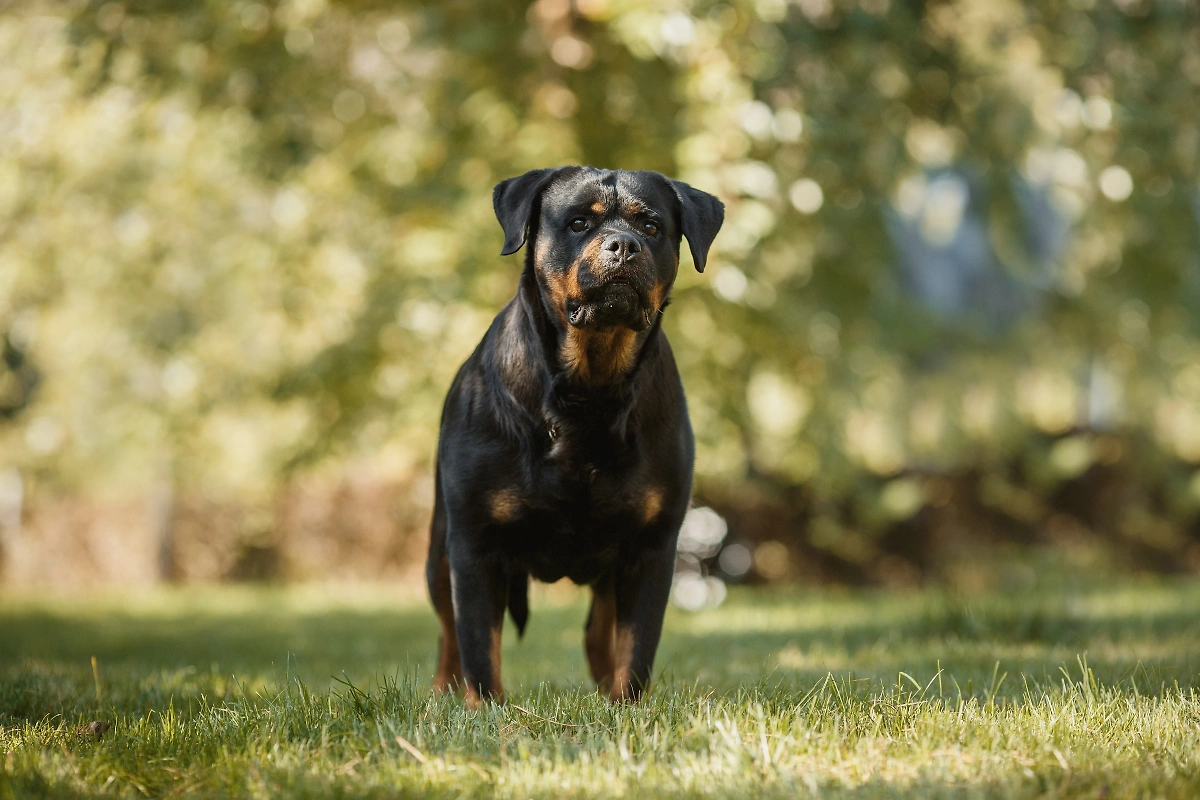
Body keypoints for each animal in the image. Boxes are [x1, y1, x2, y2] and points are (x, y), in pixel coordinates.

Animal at [429, 165, 720, 705]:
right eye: (579, 223)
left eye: (651, 227)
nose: (623, 245)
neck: (589, 391)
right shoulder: (474, 541)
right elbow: (478, 644)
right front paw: (485, 710)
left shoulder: (652, 545)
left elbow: (637, 644)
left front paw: (628, 706)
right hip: (439, 549)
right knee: (447, 631)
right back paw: (441, 694)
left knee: (597, 633)